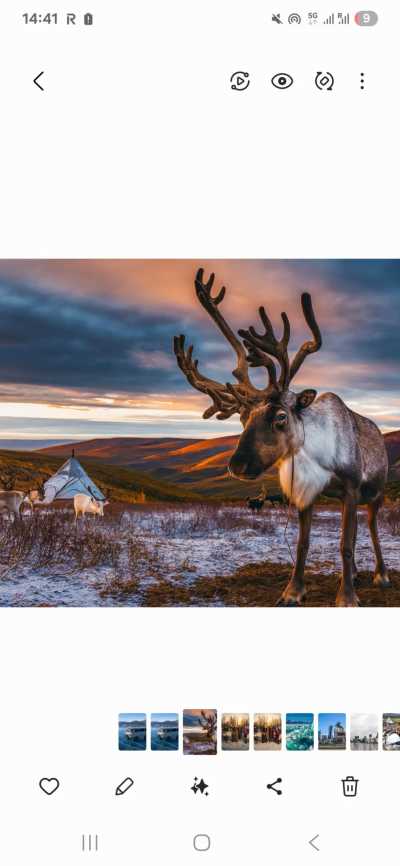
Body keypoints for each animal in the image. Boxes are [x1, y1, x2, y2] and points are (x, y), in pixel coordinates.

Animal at [174, 268, 389, 607]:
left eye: (280, 417)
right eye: (243, 418)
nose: (237, 466)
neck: (315, 455)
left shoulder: (352, 488)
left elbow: (345, 544)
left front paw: (346, 598)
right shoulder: (307, 492)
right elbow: (303, 544)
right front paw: (293, 591)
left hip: (375, 493)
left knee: (371, 527)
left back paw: (380, 574)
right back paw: (354, 573)